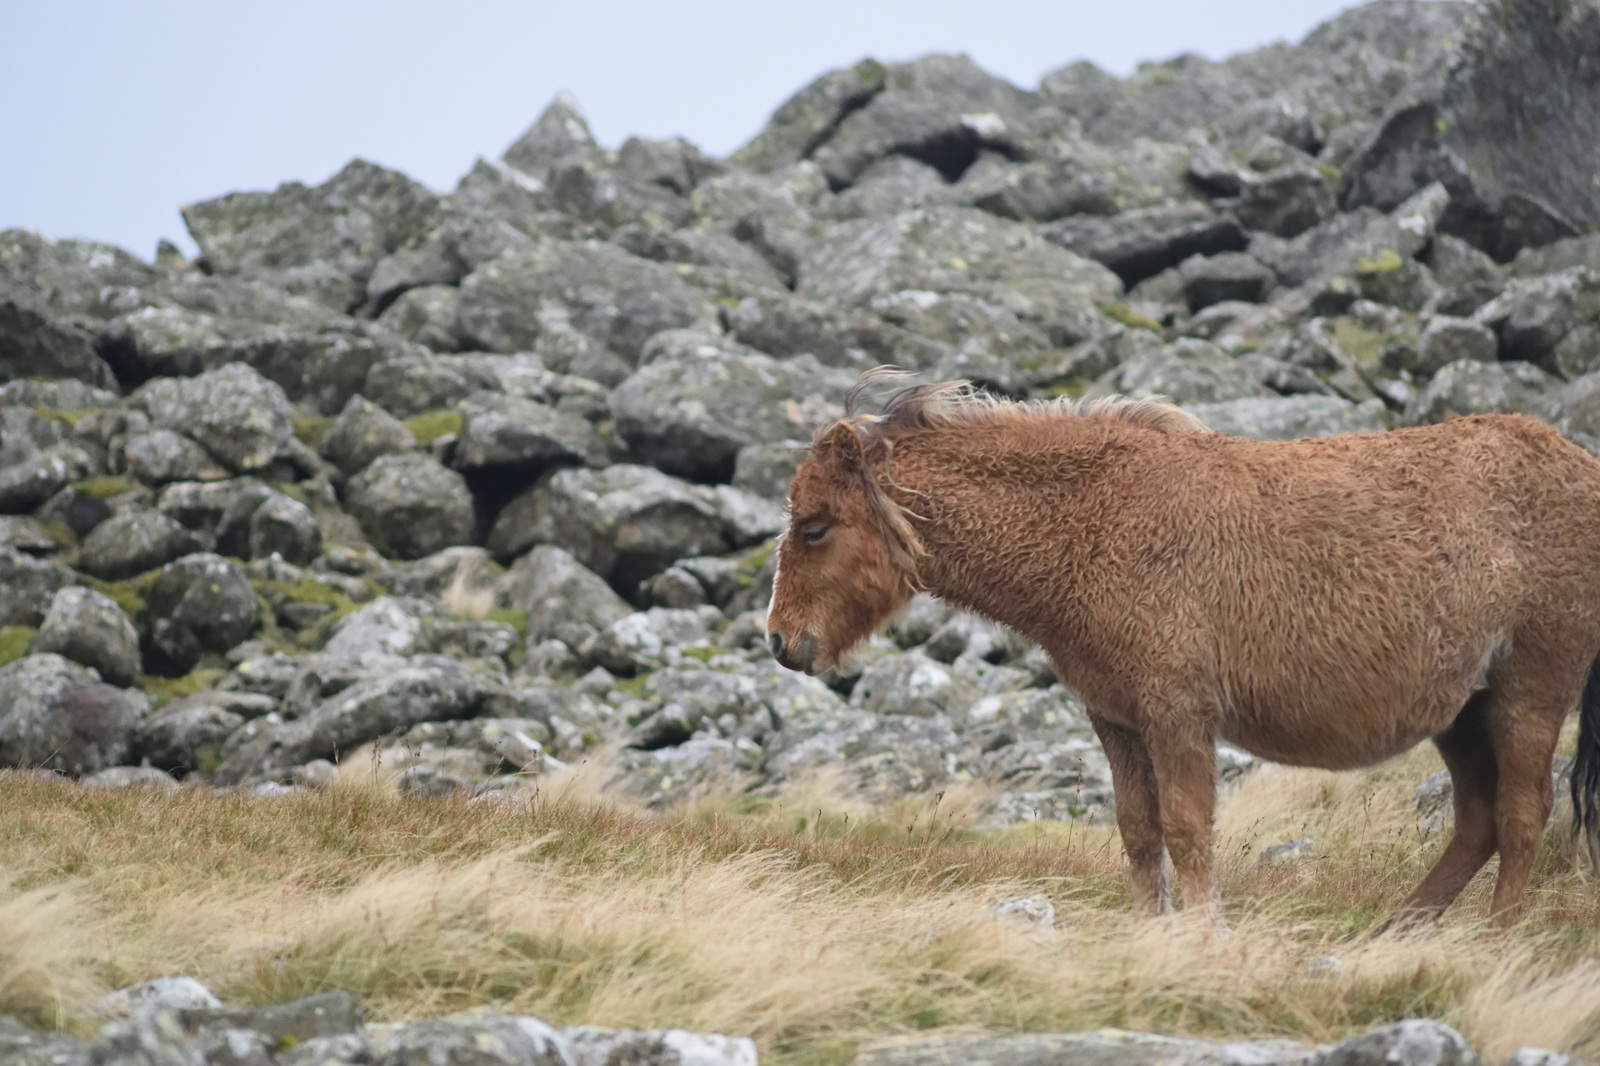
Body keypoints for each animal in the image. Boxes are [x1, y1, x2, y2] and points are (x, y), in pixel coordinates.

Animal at [764, 377, 1600, 928]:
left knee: (1523, 814)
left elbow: (1188, 830)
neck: (1099, 521)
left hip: (1529, 690)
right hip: (1462, 712)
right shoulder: (1117, 720)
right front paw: (1152, 935)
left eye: (815, 527)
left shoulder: (1177, 714)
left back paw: (1498, 942)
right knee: (1479, 819)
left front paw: (1203, 936)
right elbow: (1140, 833)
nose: (779, 642)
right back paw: (1402, 933)